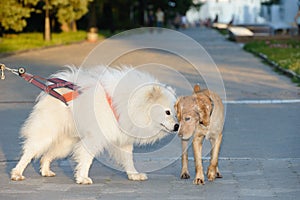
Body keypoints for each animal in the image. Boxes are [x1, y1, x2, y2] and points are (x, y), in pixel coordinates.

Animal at [11, 66, 179, 184]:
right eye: (167, 112)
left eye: (175, 113)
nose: (177, 126)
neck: (127, 104)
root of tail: (53, 92)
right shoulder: (95, 137)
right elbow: (87, 157)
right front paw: (82, 178)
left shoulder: (122, 140)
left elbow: (128, 159)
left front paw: (134, 175)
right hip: (47, 134)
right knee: (30, 151)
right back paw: (17, 173)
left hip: (65, 143)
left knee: (47, 155)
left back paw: (46, 171)